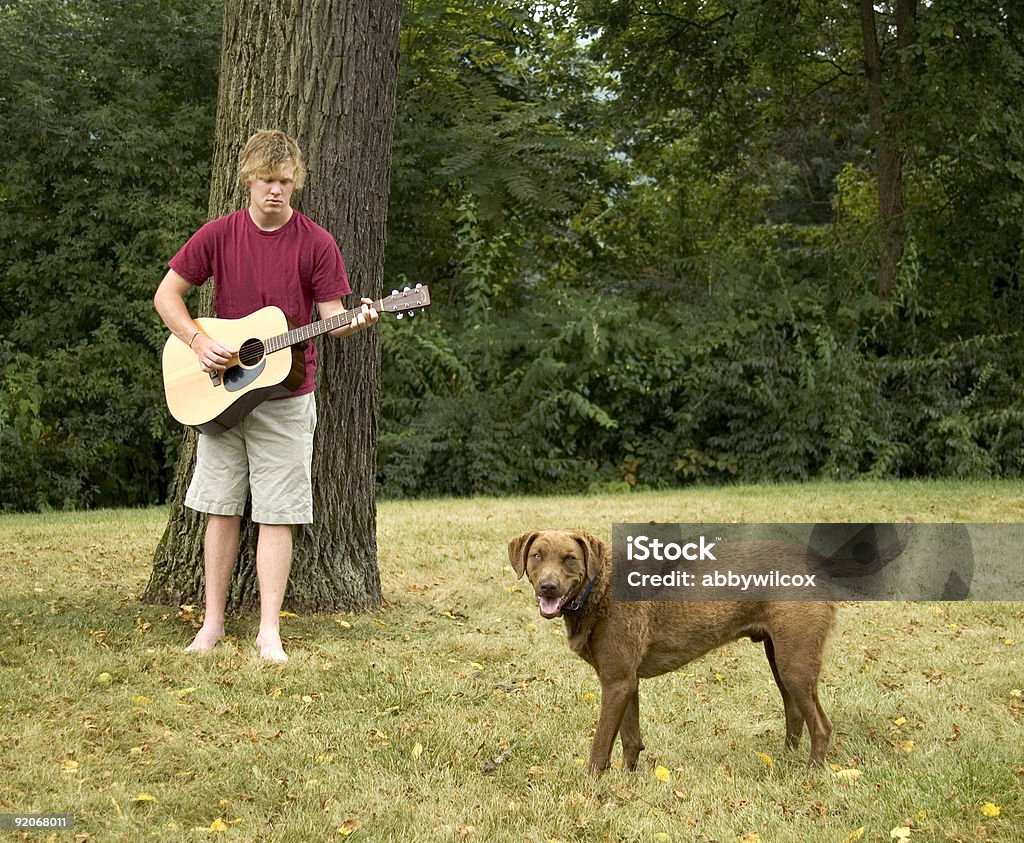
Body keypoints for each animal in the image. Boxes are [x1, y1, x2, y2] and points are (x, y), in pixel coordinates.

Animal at [507, 532, 835, 774]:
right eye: (537, 556)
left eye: (570, 558)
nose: (548, 587)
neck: (599, 587)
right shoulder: (627, 682)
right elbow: (630, 738)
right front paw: (628, 779)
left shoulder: (616, 681)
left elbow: (600, 745)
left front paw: (590, 786)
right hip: (779, 658)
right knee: (795, 714)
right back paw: (785, 759)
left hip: (795, 664)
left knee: (821, 725)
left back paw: (811, 772)